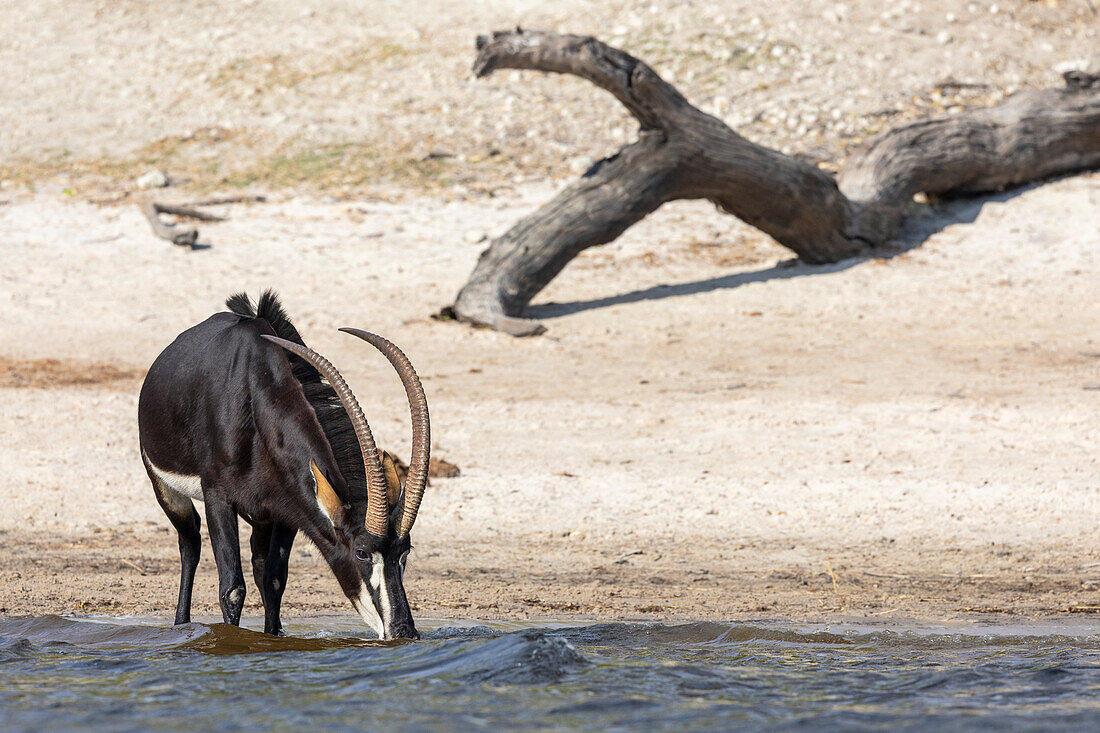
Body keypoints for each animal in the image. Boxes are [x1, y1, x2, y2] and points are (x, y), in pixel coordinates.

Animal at [137, 288, 429, 638]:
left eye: (404, 552)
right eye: (361, 551)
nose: (403, 631)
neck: (257, 394)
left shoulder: (288, 511)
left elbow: (274, 580)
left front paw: (273, 637)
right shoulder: (218, 498)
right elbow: (231, 588)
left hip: (262, 516)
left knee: (258, 563)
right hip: (164, 486)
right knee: (190, 541)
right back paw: (181, 625)